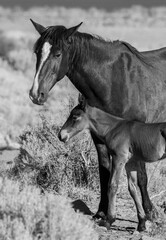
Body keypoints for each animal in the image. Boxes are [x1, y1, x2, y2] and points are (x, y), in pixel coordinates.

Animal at [58, 95, 166, 231]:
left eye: (75, 116)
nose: (60, 135)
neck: (113, 128)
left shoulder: (118, 158)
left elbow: (112, 185)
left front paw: (109, 220)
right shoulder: (130, 163)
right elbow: (132, 189)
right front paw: (141, 223)